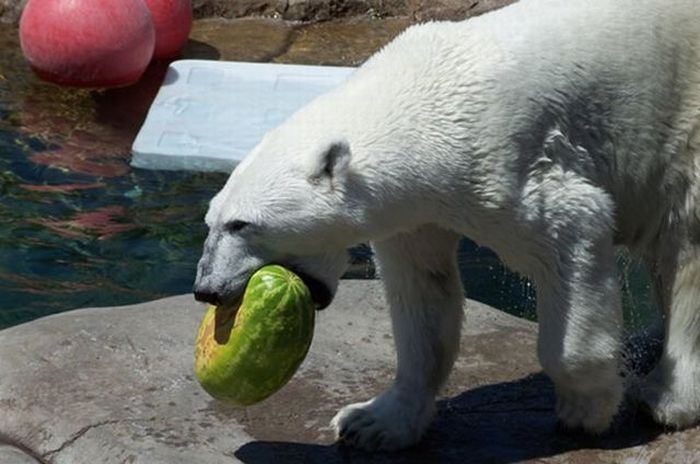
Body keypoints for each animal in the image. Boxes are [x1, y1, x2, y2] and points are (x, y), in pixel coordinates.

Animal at [194, 0, 700, 452]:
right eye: (211, 219)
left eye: (241, 224)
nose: (206, 289)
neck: (427, 95)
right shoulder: (416, 214)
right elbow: (423, 297)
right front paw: (371, 422)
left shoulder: (509, 164)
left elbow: (571, 231)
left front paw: (588, 407)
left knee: (684, 246)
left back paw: (668, 397)